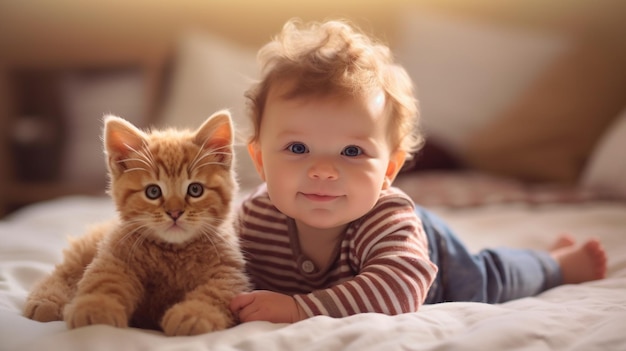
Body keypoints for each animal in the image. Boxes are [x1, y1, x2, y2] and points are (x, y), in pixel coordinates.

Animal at [23, 111, 249, 336]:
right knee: (65, 272)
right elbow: (104, 280)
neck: (174, 252)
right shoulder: (117, 257)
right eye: (153, 191)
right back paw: (46, 300)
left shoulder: (229, 270)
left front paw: (195, 314)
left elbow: (217, 292)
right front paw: (96, 309)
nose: (174, 212)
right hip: (87, 249)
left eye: (195, 190)